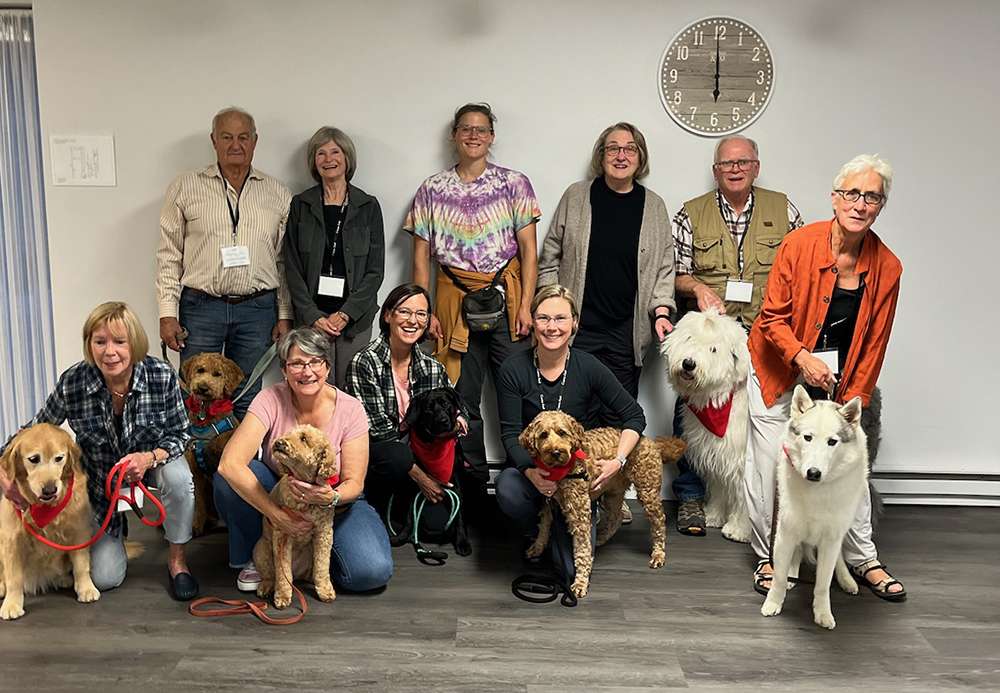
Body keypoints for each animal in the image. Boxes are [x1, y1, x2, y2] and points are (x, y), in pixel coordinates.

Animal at [254, 424, 340, 608]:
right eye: (288, 433)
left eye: (304, 438)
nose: (278, 442)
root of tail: (299, 573)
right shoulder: (282, 535)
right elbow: (283, 572)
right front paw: (282, 596)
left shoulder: (324, 533)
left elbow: (322, 566)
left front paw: (325, 590)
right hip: (262, 550)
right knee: (271, 574)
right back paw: (266, 587)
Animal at [516, 408, 688, 596]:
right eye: (543, 435)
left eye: (562, 433)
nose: (555, 452)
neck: (561, 471)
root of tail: (651, 442)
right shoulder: (546, 499)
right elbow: (544, 526)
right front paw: (537, 547)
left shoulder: (579, 510)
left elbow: (582, 549)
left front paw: (581, 582)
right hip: (612, 492)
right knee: (616, 517)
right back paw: (601, 537)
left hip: (647, 491)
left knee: (659, 522)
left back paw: (658, 554)